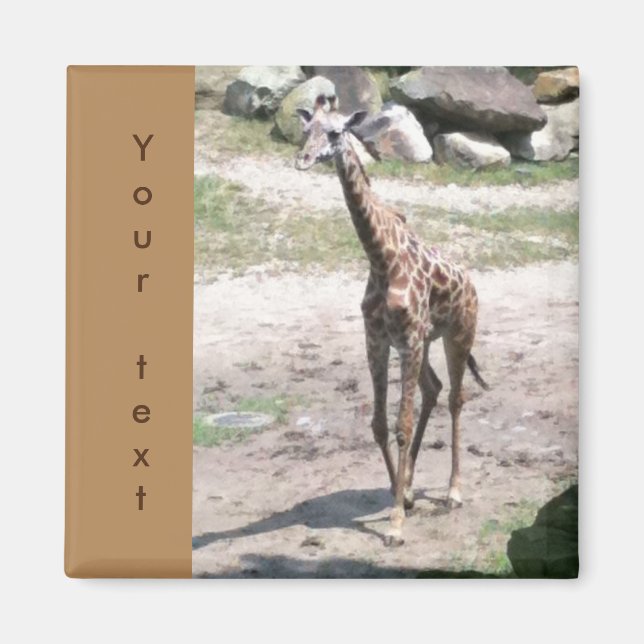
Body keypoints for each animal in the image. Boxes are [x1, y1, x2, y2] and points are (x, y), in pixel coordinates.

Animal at [294, 95, 489, 546]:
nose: (304, 159)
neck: (381, 259)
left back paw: (453, 492)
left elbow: (402, 424)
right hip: (424, 343)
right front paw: (402, 494)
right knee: (435, 390)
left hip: (457, 334)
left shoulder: (409, 341)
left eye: (335, 132)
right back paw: (414, 485)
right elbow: (381, 425)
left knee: (455, 398)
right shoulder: (379, 341)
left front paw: (397, 523)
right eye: (306, 129)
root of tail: (471, 284)